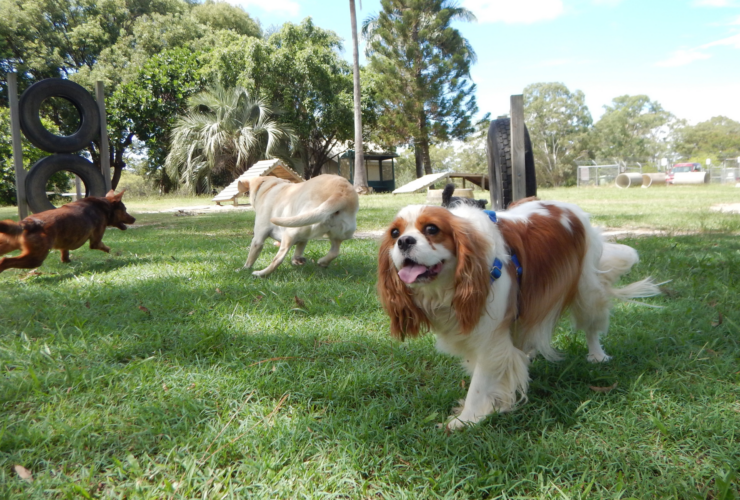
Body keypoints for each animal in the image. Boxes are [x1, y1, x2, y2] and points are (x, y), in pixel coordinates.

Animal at [0, 188, 136, 274]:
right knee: (5, 261)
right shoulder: (96, 240)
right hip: (35, 258)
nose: (134, 219)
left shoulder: (65, 241)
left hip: (9, 244)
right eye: (125, 209)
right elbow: (100, 245)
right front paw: (109, 250)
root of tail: (28, 223)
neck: (104, 206)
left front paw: (66, 261)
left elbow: (64, 252)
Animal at [378, 199, 660, 430]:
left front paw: (466, 419)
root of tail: (569, 207)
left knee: (591, 326)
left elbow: (479, 383)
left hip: (587, 289)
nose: (404, 242)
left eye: (432, 229)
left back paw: (597, 355)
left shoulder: (490, 337)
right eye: (395, 233)